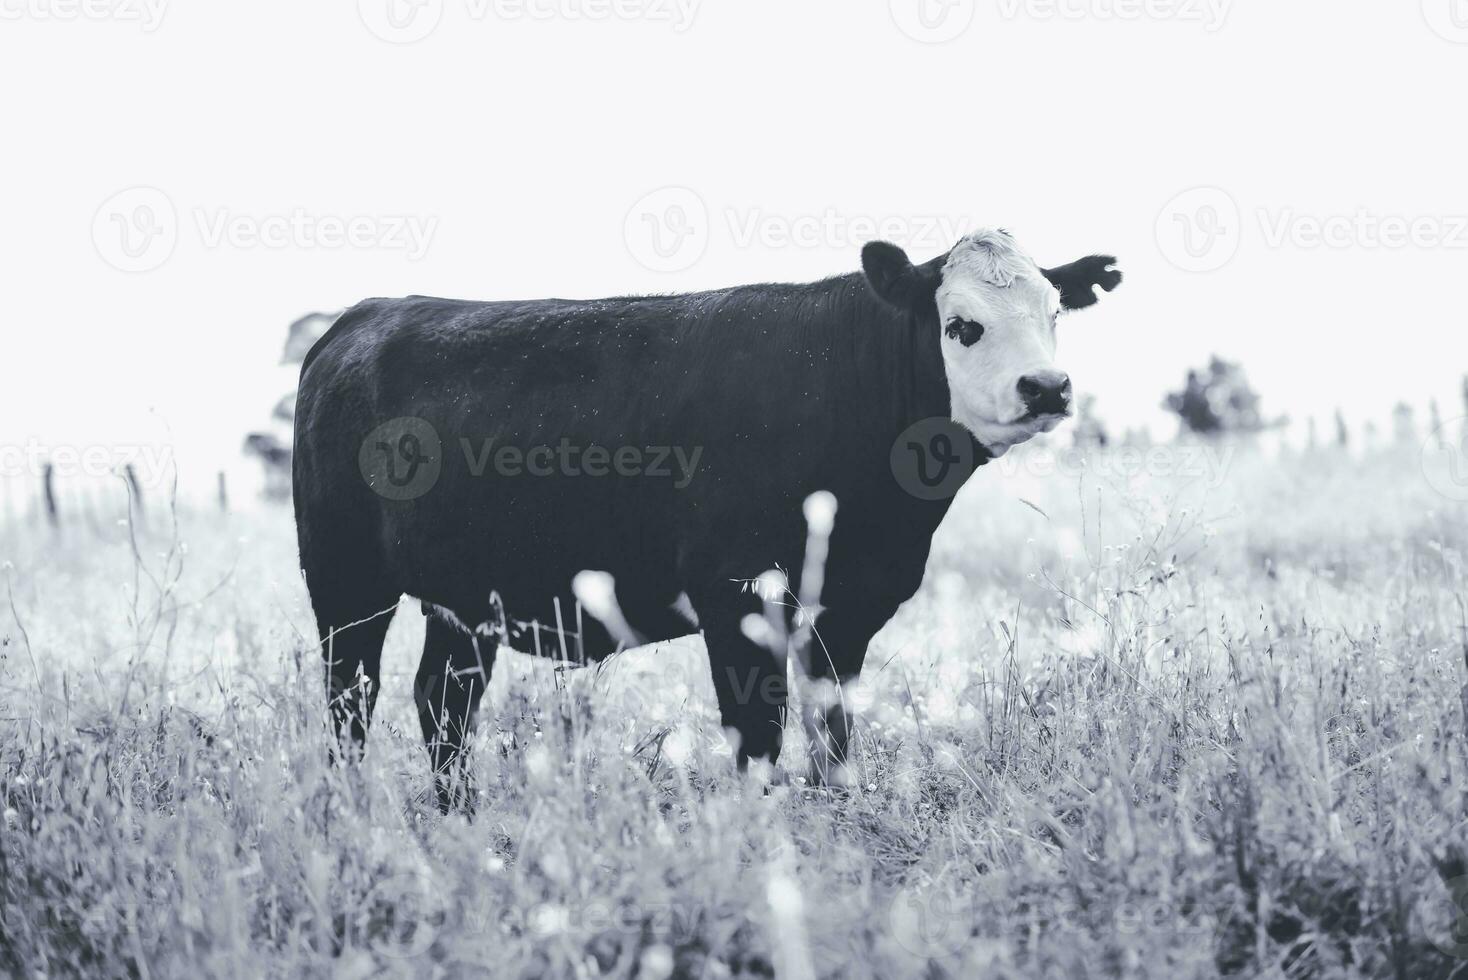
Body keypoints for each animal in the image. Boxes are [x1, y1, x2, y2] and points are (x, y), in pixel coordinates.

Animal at [298, 231, 1121, 809]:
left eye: (1053, 314)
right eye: (962, 326)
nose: (1047, 386)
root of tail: (365, 317)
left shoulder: (851, 604)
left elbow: (833, 730)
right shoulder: (737, 593)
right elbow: (757, 734)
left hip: (464, 598)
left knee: (443, 702)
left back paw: (459, 816)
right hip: (345, 581)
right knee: (351, 696)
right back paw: (352, 809)